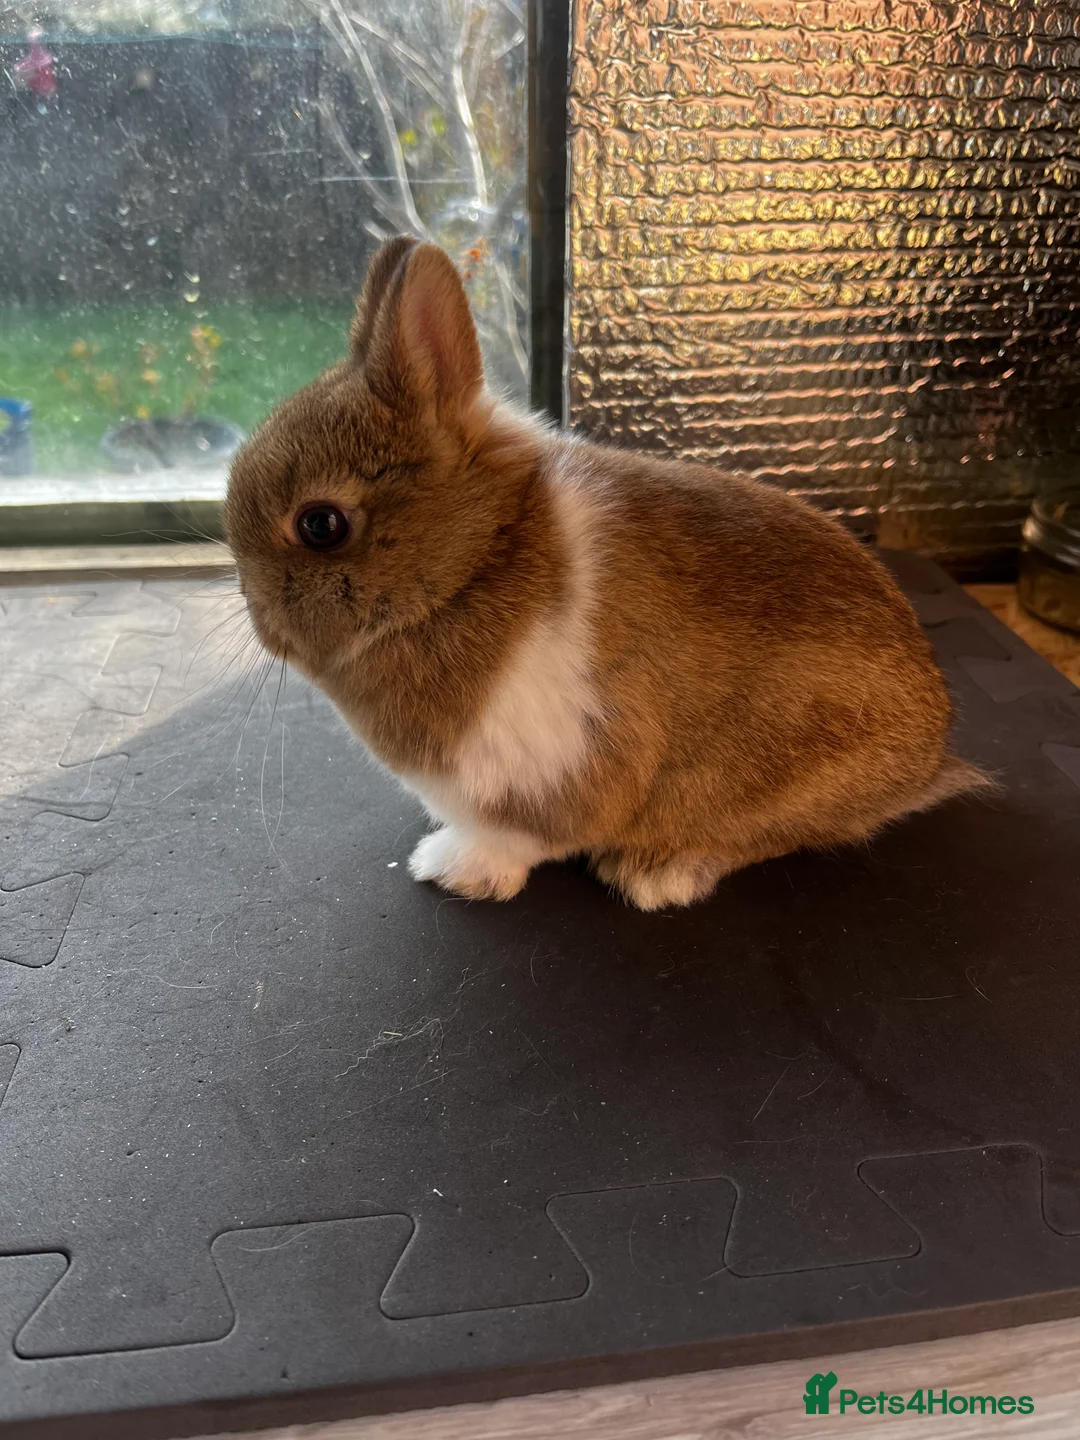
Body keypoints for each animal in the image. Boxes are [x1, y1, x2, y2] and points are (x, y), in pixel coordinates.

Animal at [225, 234, 989, 910]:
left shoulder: (558, 775)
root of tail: (931, 753)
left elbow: (524, 839)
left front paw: (453, 869)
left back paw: (661, 874)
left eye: (321, 525)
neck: (475, 564)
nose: (265, 628)